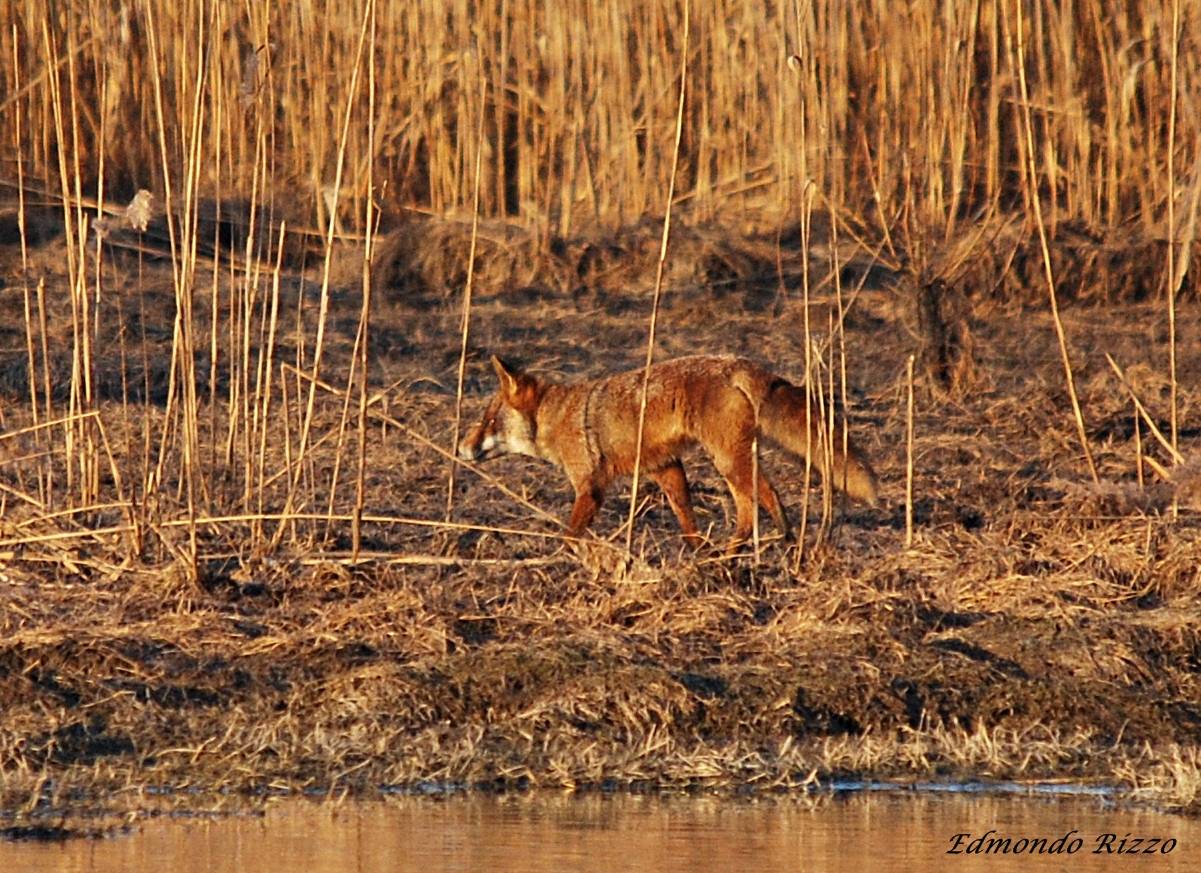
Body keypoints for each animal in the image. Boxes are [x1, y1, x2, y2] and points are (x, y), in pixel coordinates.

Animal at [457, 354, 879, 548]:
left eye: (488, 421)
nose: (461, 447)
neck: (559, 416)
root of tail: (737, 362)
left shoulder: (590, 488)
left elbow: (570, 537)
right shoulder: (665, 467)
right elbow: (686, 521)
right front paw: (695, 553)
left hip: (728, 461)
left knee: (762, 501)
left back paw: (766, 545)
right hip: (734, 460)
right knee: (755, 508)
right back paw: (743, 551)